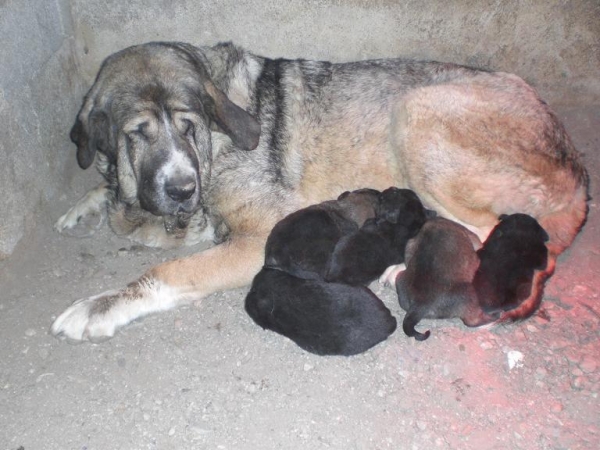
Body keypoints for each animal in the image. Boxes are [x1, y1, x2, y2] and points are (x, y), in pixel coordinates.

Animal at [50, 43, 584, 344]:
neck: (217, 135)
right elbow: (114, 198)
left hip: (417, 113)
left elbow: (166, 271)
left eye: (188, 125)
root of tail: (577, 168)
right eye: (135, 134)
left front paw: (102, 306)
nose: (182, 189)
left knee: (500, 237)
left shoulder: (258, 233)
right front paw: (86, 205)